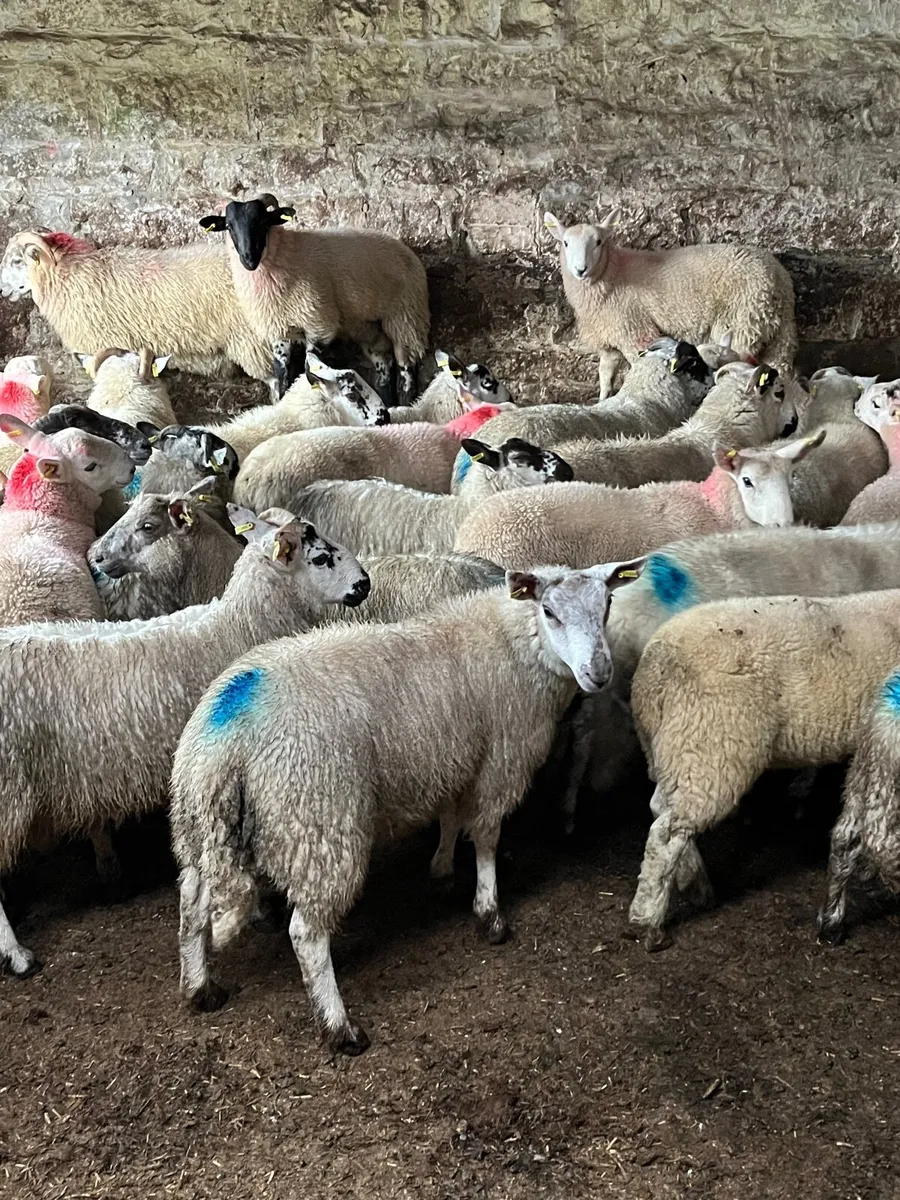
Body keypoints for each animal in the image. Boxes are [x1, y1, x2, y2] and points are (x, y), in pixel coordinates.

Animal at [0, 512, 369, 977]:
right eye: (321, 558)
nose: (365, 583)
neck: (240, 625)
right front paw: (257, 909)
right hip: (7, 787)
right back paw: (16, 954)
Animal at [169, 559, 638, 1052]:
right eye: (549, 611)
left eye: (607, 605)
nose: (599, 673)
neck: (513, 646)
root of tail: (227, 733)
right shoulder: (500, 760)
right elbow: (486, 837)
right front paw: (489, 913)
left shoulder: (454, 759)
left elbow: (451, 818)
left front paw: (442, 871)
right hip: (319, 822)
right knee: (308, 934)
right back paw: (339, 1026)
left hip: (198, 828)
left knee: (191, 906)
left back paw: (200, 987)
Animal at [199, 194, 430, 402]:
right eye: (229, 226)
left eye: (264, 222)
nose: (248, 258)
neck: (288, 256)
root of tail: (404, 249)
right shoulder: (278, 331)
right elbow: (282, 374)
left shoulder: (318, 324)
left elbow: (309, 367)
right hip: (368, 328)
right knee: (384, 365)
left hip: (406, 318)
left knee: (406, 368)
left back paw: (406, 402)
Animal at [543, 209, 798, 399]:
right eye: (565, 243)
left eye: (598, 241)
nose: (580, 269)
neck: (612, 274)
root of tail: (779, 279)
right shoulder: (609, 340)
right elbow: (606, 376)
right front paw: (602, 400)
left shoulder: (635, 331)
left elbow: (638, 365)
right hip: (779, 334)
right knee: (782, 370)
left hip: (743, 321)